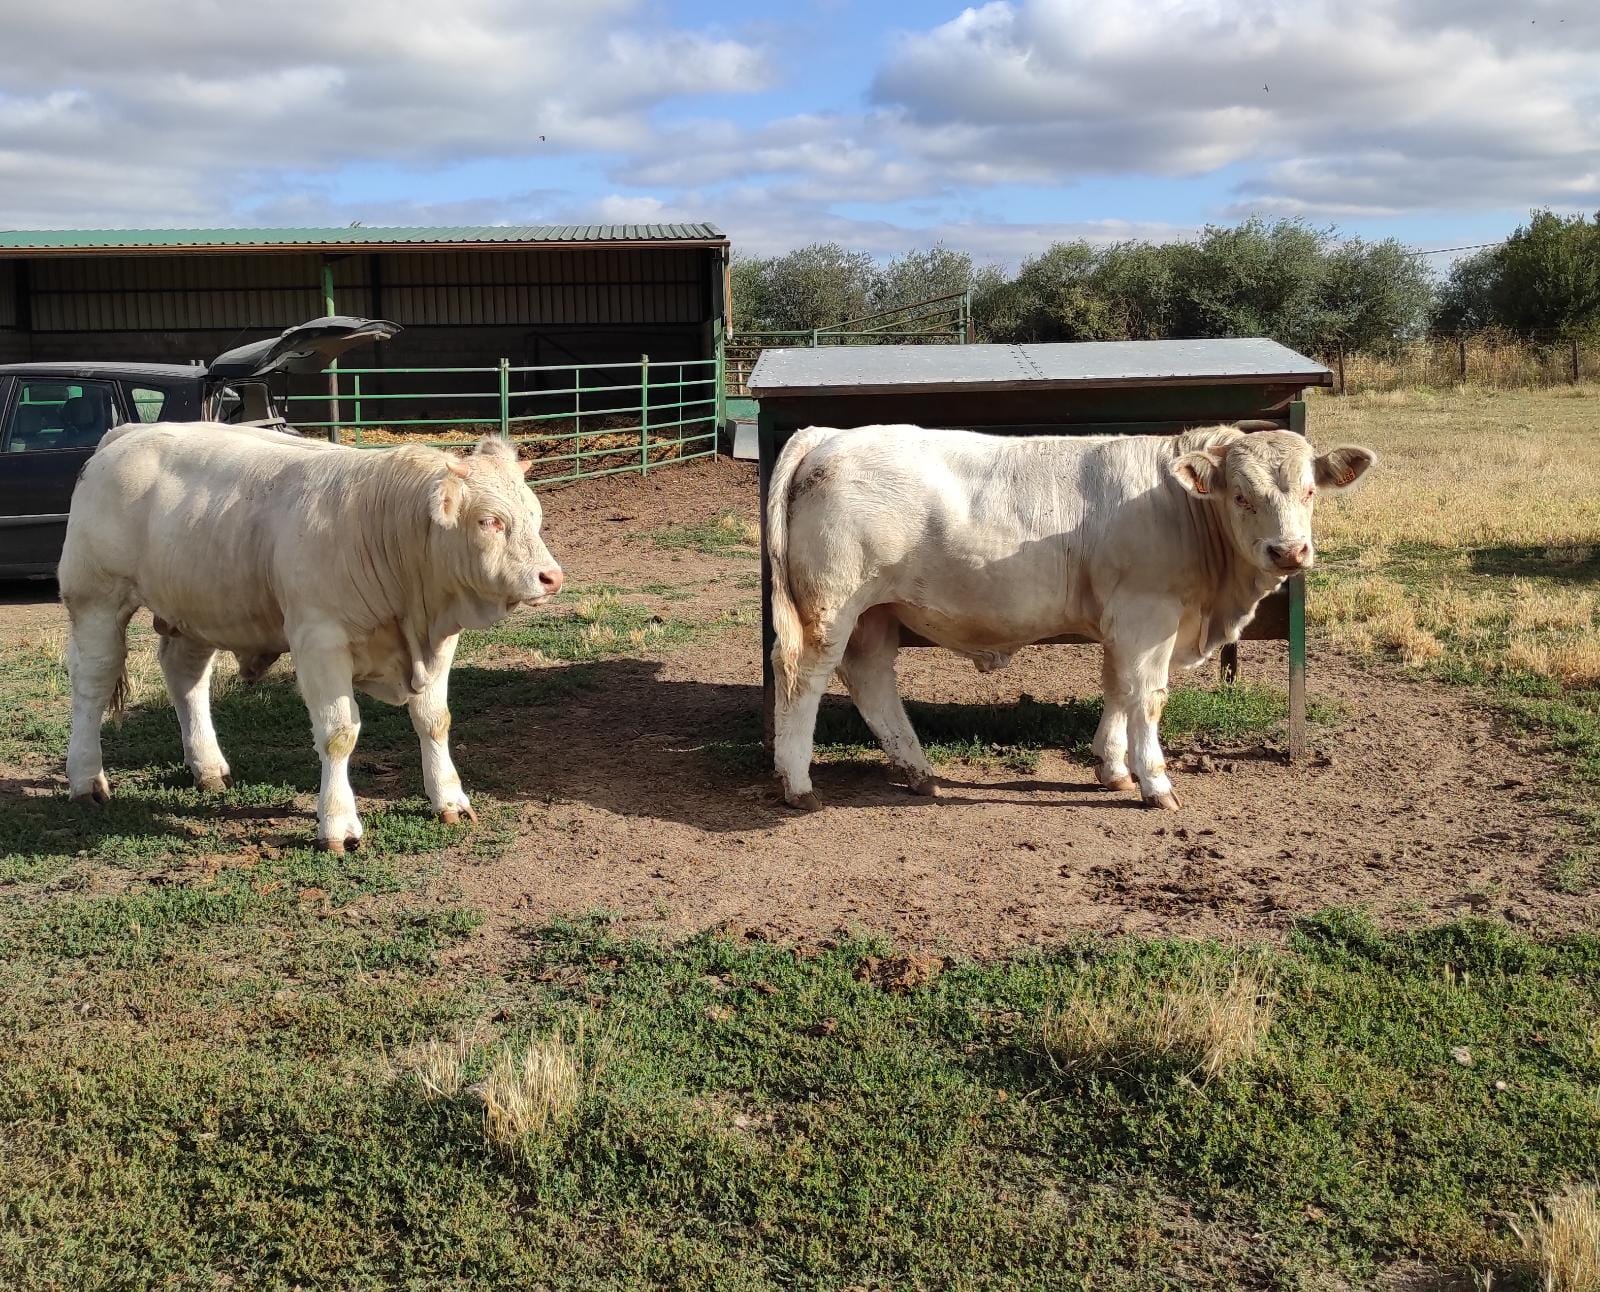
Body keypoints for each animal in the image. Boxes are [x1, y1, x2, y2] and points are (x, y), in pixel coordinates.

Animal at [59, 425, 566, 850]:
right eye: (489, 521)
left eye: (535, 515)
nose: (551, 577)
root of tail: (127, 433)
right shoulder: (320, 642)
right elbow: (339, 734)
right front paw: (338, 824)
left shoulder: (440, 642)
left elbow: (434, 719)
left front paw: (449, 799)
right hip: (96, 599)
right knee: (92, 685)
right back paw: (86, 780)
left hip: (198, 606)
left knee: (186, 678)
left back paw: (207, 767)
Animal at [768, 422, 1369, 805]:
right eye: (1241, 496)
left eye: (1310, 491)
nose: (1289, 551)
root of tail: (825, 436)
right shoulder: (1148, 615)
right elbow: (1147, 696)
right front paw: (1155, 783)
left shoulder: (1124, 623)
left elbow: (1117, 687)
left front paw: (1113, 767)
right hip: (831, 604)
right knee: (803, 674)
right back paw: (799, 785)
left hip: (875, 612)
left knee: (871, 679)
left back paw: (920, 772)